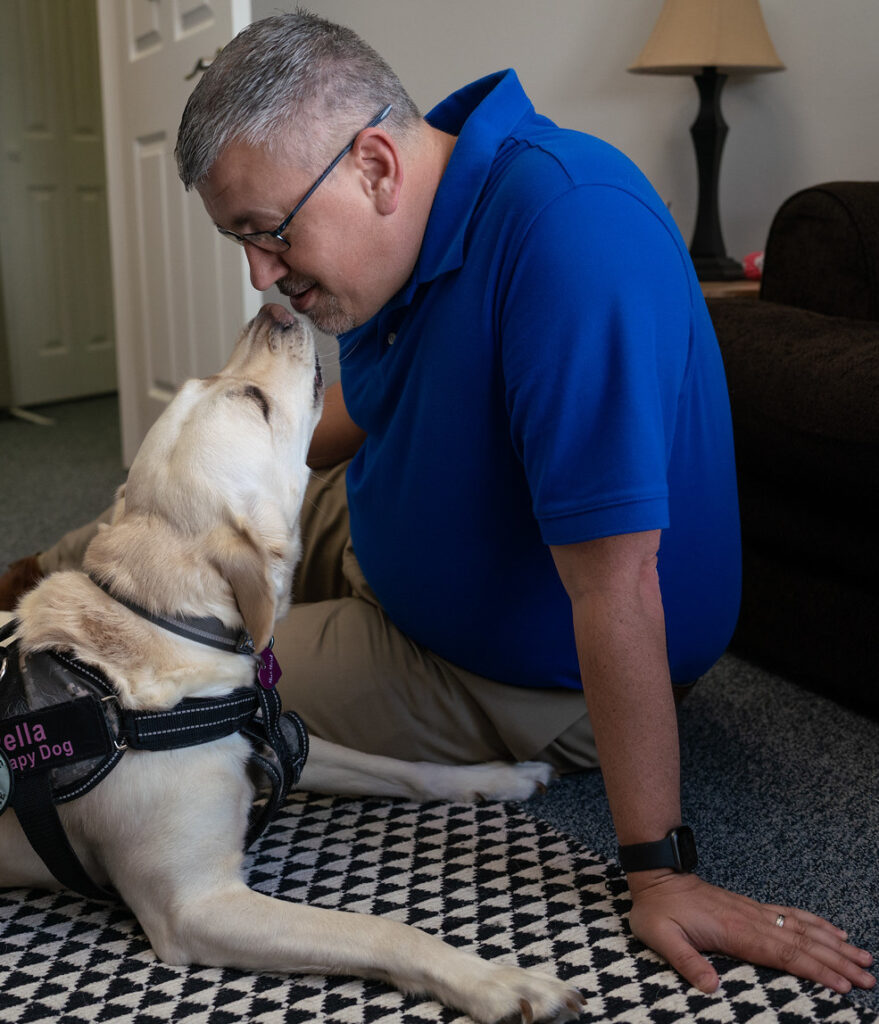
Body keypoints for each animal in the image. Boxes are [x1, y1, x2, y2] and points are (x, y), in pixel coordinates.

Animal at [0, 305, 581, 1024]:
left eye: (205, 379)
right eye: (252, 399)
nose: (274, 309)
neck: (166, 630)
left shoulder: (283, 738)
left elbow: (406, 768)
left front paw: (495, 777)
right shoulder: (194, 905)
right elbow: (378, 930)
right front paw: (495, 980)